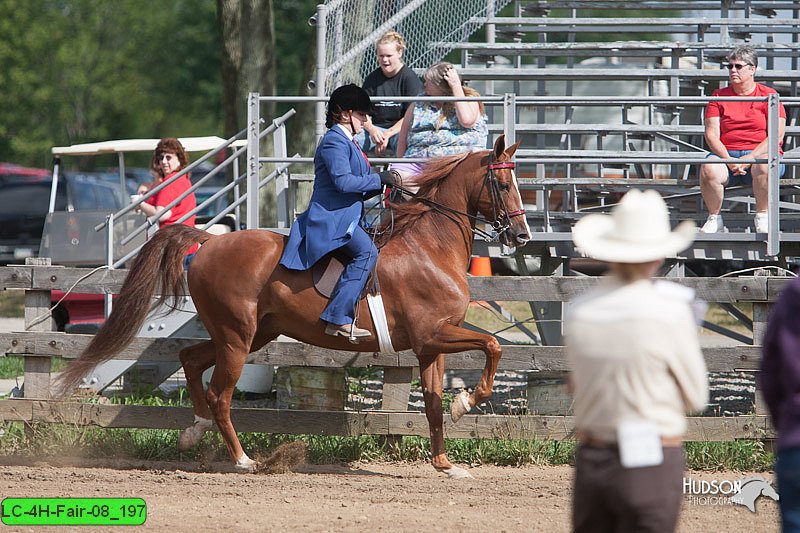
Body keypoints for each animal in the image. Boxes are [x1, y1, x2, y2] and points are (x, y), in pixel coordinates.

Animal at [57, 135, 532, 476]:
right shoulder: (433, 334)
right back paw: (243, 460)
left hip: (250, 333)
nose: (523, 235)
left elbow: (433, 403)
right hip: (237, 337)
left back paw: (195, 431)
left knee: (191, 360)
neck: (429, 247)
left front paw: (446, 464)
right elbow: (493, 346)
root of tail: (210, 241)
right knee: (220, 394)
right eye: (503, 183)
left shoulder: (430, 345)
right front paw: (467, 403)